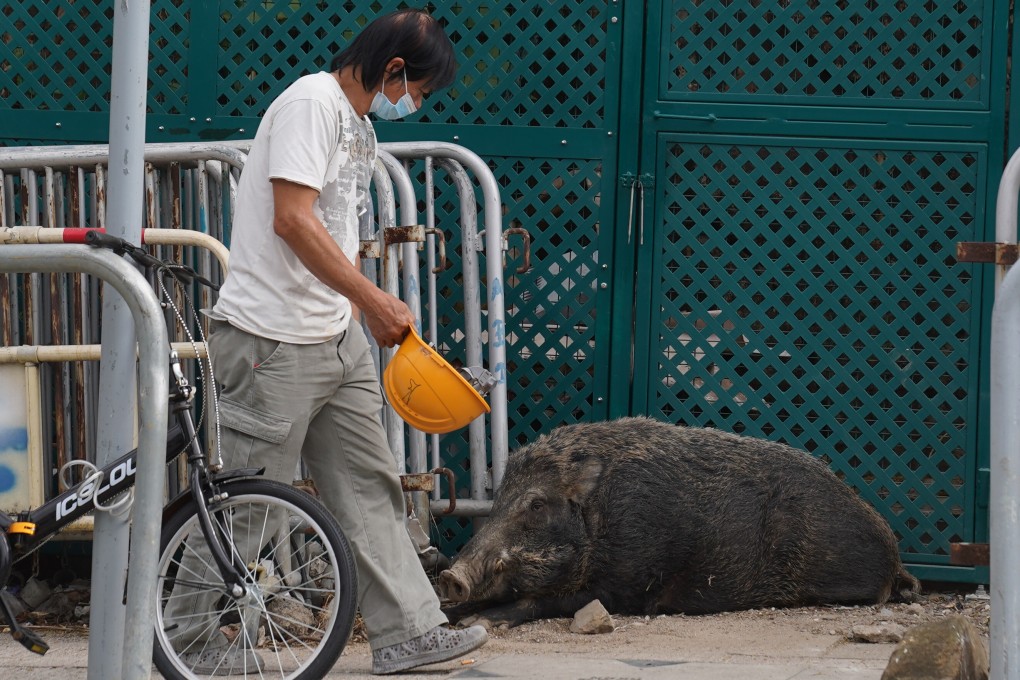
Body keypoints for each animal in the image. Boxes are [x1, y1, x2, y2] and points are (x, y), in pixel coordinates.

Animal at [440, 417, 919, 628]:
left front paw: (479, 624)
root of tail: (896, 559)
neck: (603, 518)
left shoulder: (627, 587)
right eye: (499, 499)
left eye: (537, 505)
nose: (450, 576)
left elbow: (544, 601)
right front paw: (455, 615)